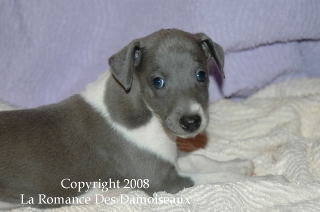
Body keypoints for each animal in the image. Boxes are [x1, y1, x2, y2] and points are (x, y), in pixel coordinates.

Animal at [0, 28, 245, 209]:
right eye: (157, 81)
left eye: (201, 75)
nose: (191, 121)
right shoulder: (161, 180)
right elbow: (213, 177)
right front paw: (239, 175)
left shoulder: (168, 158)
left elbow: (199, 159)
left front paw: (240, 163)